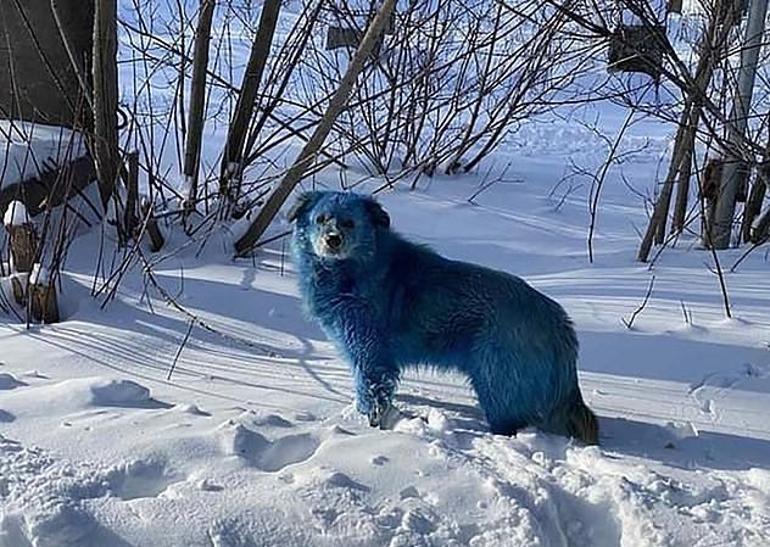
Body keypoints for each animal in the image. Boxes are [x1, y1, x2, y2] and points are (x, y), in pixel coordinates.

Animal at [292, 191, 596, 444]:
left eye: (349, 223)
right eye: (321, 219)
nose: (332, 240)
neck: (356, 268)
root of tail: (558, 321)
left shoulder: (370, 354)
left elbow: (371, 392)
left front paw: (368, 428)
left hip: (495, 383)